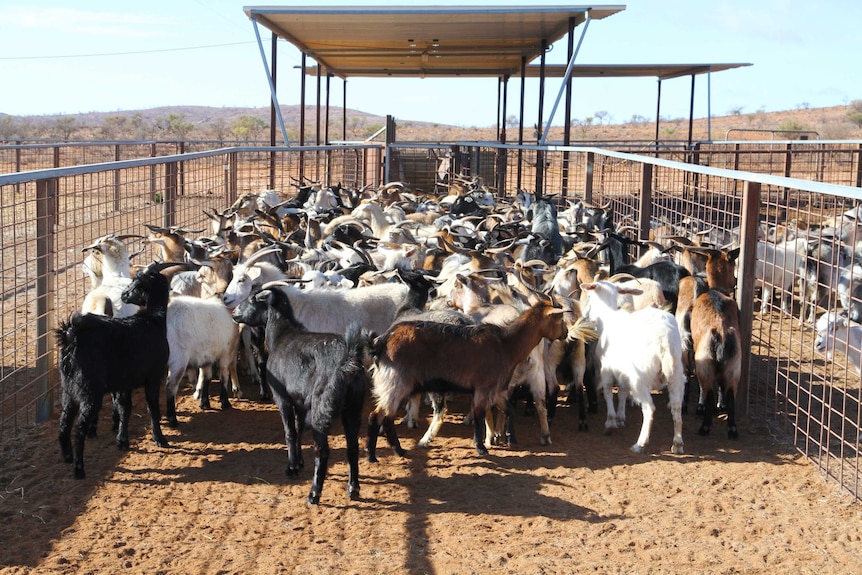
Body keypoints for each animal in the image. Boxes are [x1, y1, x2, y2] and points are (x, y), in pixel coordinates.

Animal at [231, 284, 372, 504]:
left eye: (253, 299)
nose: (234, 313)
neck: (280, 336)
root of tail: (348, 360)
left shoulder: (282, 398)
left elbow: (289, 431)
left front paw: (291, 468)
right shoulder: (299, 401)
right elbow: (297, 429)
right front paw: (298, 462)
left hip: (322, 409)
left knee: (322, 451)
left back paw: (314, 493)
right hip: (353, 407)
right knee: (352, 447)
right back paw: (353, 489)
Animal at [366, 300, 572, 462]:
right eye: (560, 319)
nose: (566, 333)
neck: (506, 345)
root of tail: (382, 341)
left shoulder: (497, 390)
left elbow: (508, 410)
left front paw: (510, 439)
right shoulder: (484, 388)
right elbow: (480, 415)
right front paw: (481, 447)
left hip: (399, 385)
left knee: (387, 417)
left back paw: (397, 451)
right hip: (397, 383)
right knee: (377, 416)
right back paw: (374, 456)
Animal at [580, 280, 688, 454]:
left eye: (589, 296)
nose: (585, 315)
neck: (608, 316)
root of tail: (664, 339)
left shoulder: (606, 368)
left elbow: (608, 391)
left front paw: (611, 422)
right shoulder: (624, 372)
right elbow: (623, 392)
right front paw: (620, 417)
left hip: (640, 378)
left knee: (649, 408)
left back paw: (640, 443)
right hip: (676, 374)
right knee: (677, 407)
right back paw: (677, 444)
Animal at [688, 290, 744, 438]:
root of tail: (722, 334)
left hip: (705, 366)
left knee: (708, 392)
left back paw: (705, 427)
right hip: (733, 368)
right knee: (730, 395)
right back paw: (732, 429)